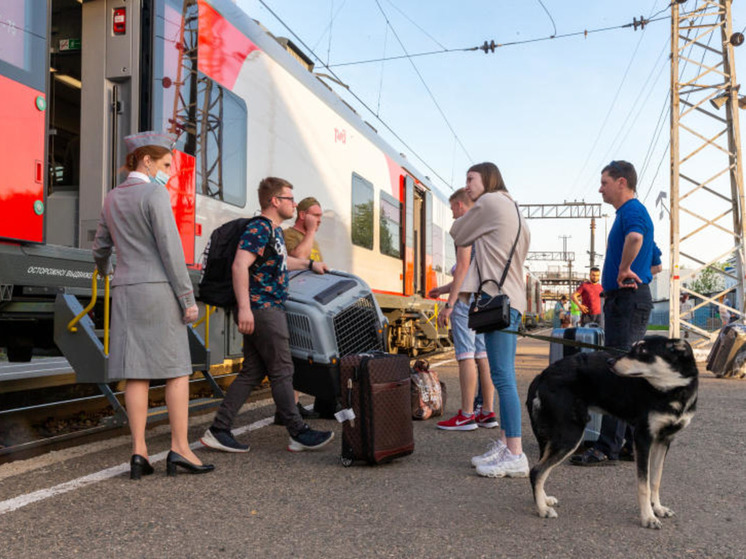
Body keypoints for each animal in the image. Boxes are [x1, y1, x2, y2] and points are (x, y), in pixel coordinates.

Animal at [528, 336, 696, 528]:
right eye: (633, 348)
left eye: (642, 351)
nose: (610, 362)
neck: (673, 390)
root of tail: (542, 375)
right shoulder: (643, 439)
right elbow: (644, 485)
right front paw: (648, 517)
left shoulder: (664, 440)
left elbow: (655, 480)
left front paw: (658, 508)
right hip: (569, 435)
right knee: (536, 471)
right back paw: (542, 509)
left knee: (541, 470)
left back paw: (544, 500)